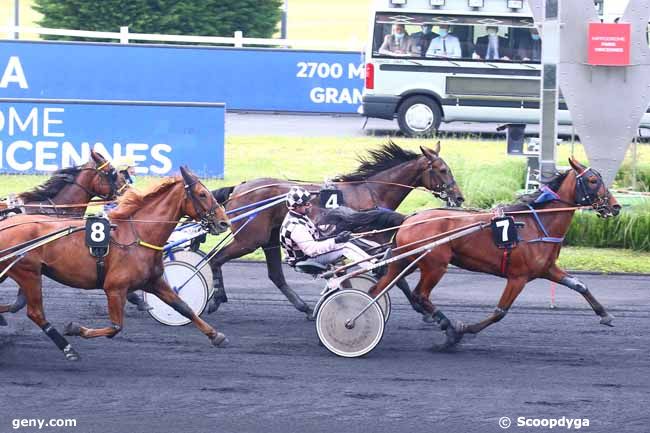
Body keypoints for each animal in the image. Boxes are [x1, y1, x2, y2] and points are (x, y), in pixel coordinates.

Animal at [206, 140, 460, 316]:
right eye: (442, 170)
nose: (458, 197)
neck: (372, 191)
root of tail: (238, 188)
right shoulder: (377, 244)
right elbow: (395, 275)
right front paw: (422, 309)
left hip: (268, 239)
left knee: (275, 275)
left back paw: (305, 308)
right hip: (249, 239)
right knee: (215, 259)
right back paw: (216, 299)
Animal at [368, 157, 620, 350]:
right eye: (593, 180)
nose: (615, 207)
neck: (537, 224)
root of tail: (408, 218)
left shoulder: (547, 269)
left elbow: (579, 284)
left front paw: (605, 315)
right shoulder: (518, 277)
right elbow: (500, 312)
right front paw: (466, 329)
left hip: (404, 261)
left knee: (378, 289)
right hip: (435, 265)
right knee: (420, 295)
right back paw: (450, 330)